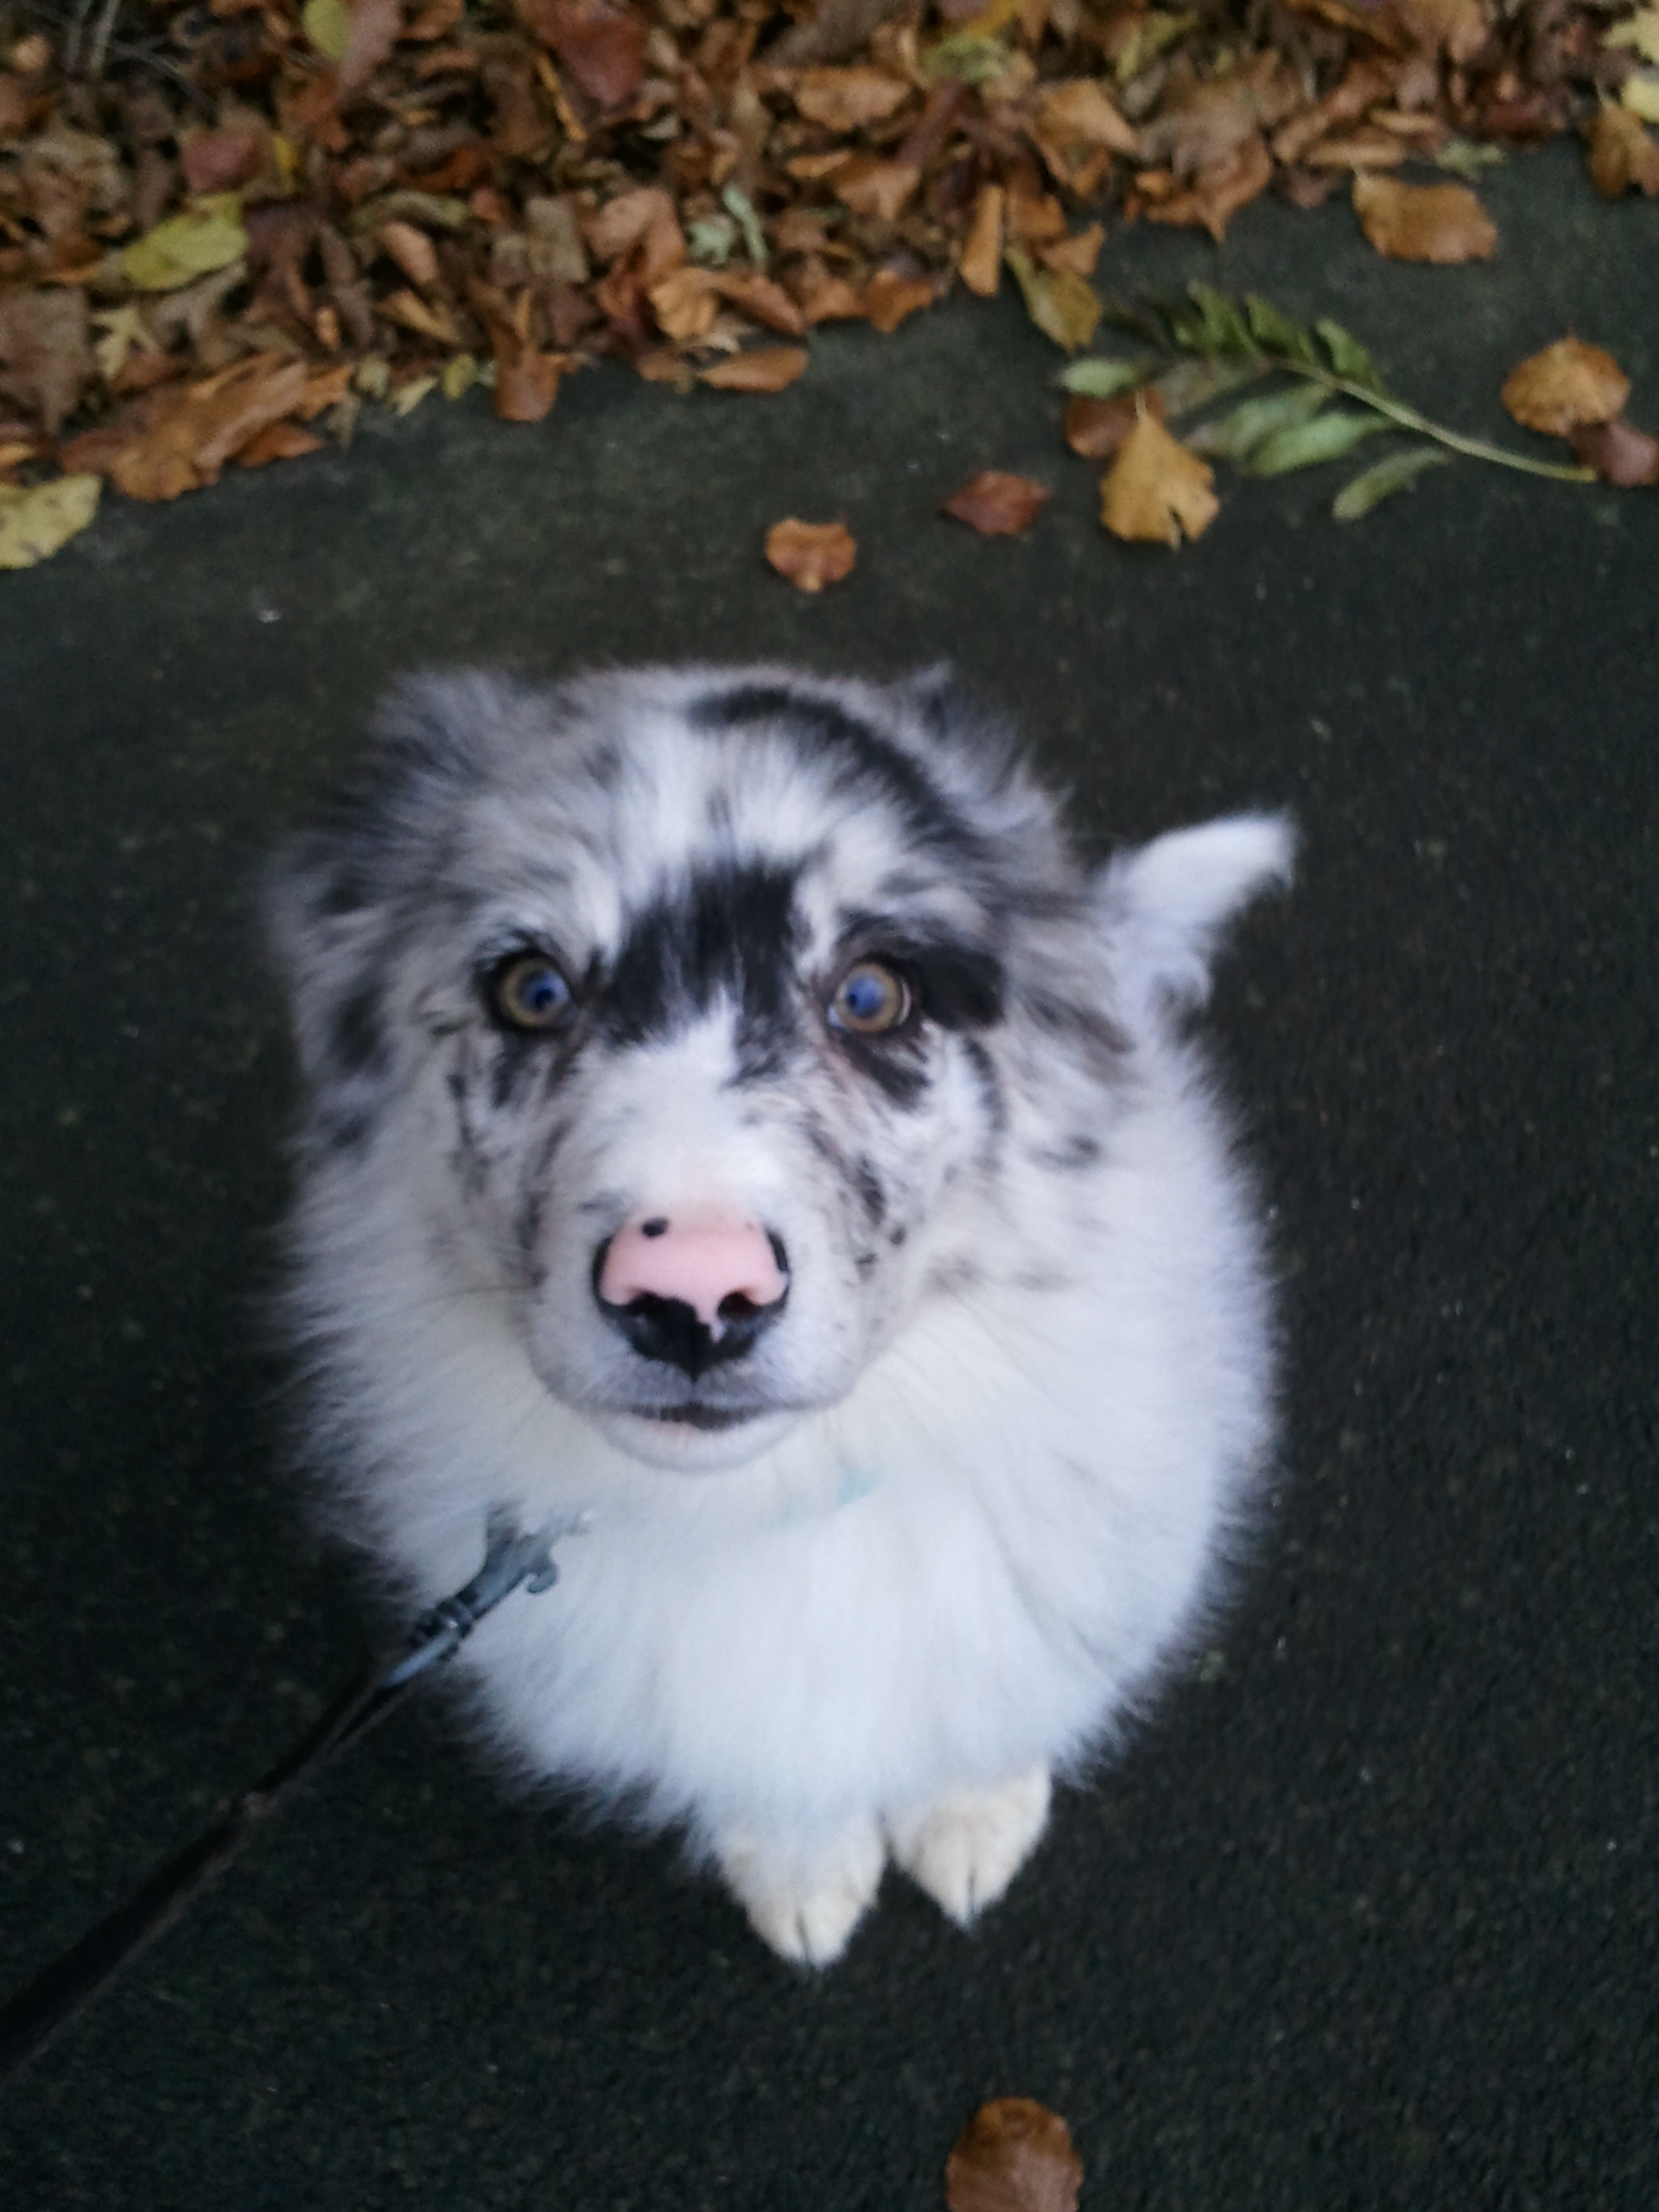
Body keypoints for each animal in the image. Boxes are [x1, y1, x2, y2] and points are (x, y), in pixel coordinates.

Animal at [265, 664, 1291, 1965]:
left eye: (873, 995)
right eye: (531, 990)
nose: (693, 1296)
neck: (772, 1499)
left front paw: (973, 1815)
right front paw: (802, 1872)